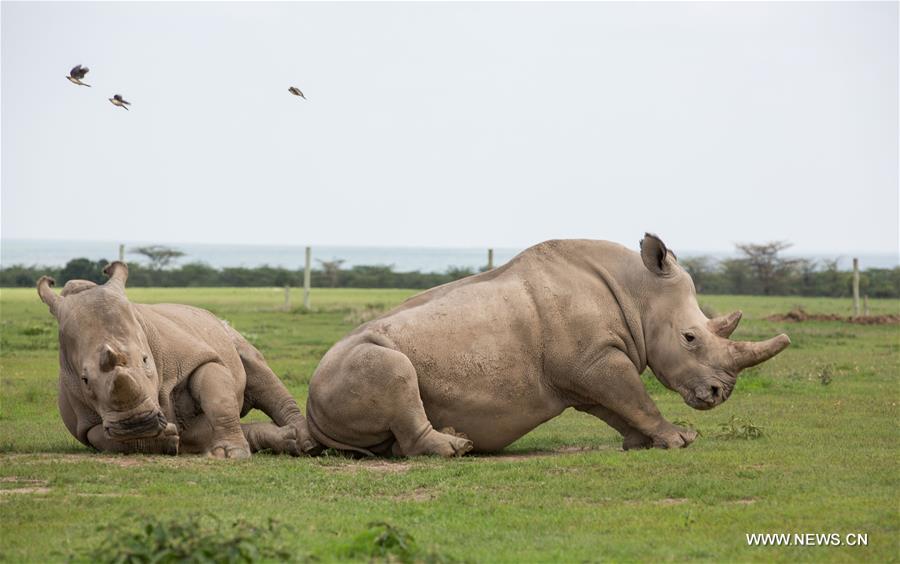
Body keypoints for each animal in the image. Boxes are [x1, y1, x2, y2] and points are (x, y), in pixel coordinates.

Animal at [37, 262, 319, 458]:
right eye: (84, 380)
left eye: (146, 361)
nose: (136, 424)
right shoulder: (84, 424)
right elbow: (108, 440)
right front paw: (162, 440)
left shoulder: (196, 358)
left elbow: (219, 400)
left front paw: (232, 454)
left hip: (222, 329)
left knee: (259, 373)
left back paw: (308, 443)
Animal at [306, 235, 791, 457]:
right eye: (690, 338)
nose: (718, 394)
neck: (639, 292)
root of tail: (311, 411)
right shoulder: (596, 360)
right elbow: (636, 397)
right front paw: (679, 440)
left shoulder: (585, 366)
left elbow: (617, 406)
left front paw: (641, 442)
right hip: (354, 361)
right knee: (393, 368)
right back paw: (457, 448)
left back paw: (456, 439)